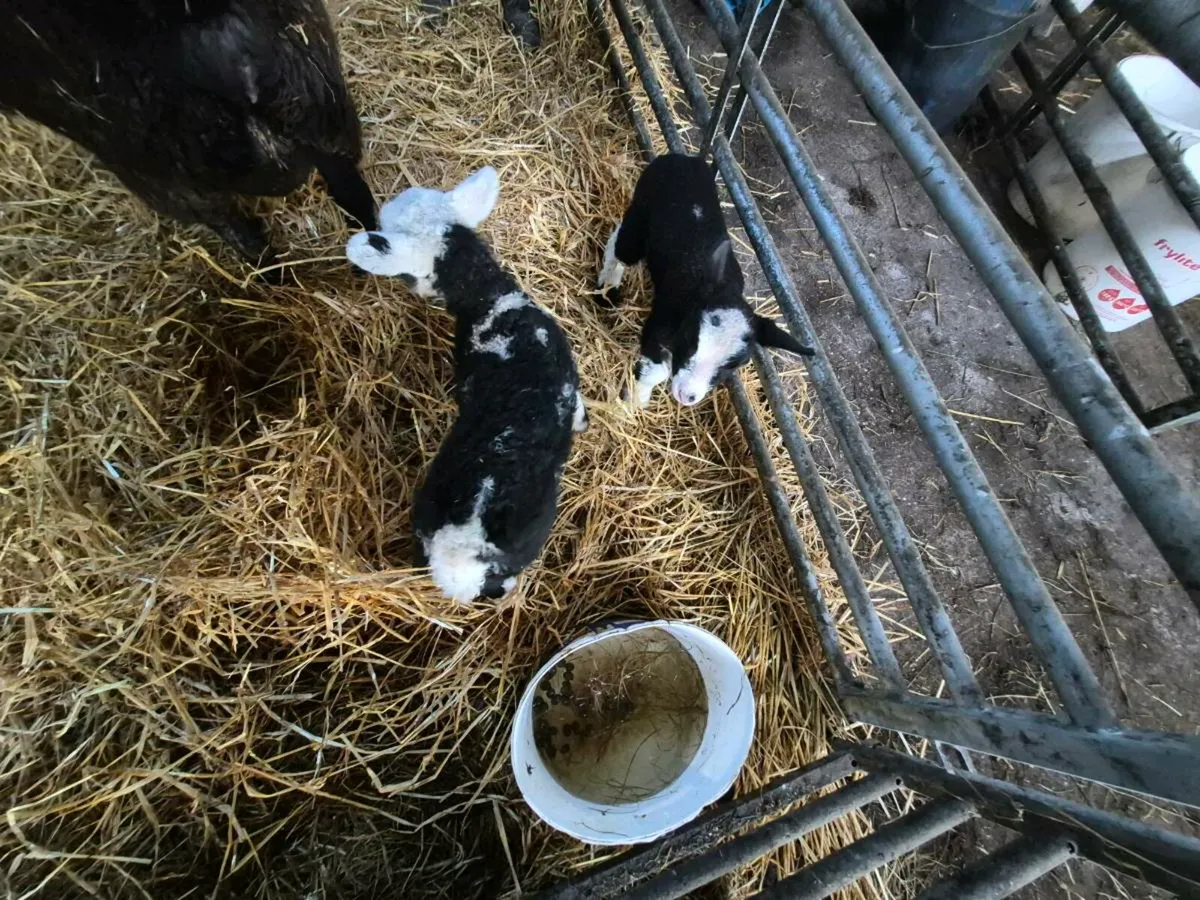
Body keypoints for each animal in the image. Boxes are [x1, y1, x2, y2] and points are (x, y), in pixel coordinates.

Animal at [597, 153, 814, 407]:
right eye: (691, 339)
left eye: (735, 364)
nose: (687, 395)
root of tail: (683, 157)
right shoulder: (659, 324)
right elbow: (657, 371)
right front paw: (634, 402)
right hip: (640, 211)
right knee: (620, 245)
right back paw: (607, 288)